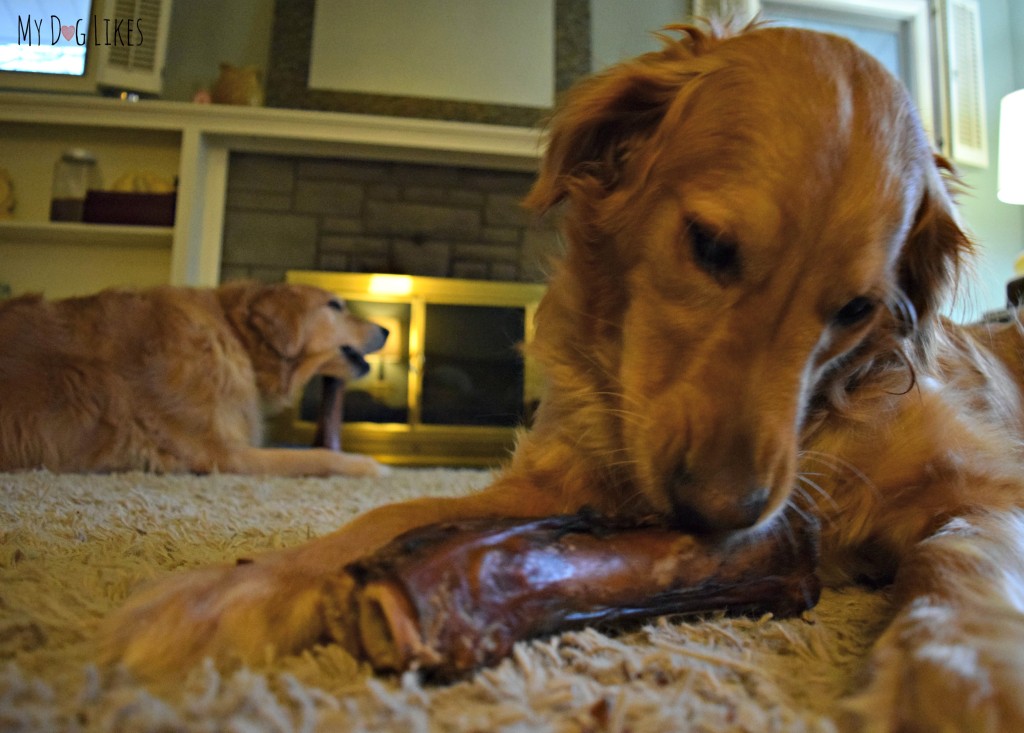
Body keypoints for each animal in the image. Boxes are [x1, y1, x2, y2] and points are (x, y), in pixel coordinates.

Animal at [0, 278, 387, 475]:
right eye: (336, 306)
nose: (386, 329)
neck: (235, 337)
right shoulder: (222, 454)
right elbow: (316, 457)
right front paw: (369, 465)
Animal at [99, 22, 1024, 733]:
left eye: (858, 308)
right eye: (709, 245)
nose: (721, 511)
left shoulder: (988, 486)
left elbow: (954, 562)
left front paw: (951, 684)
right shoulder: (562, 488)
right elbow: (389, 516)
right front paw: (218, 595)